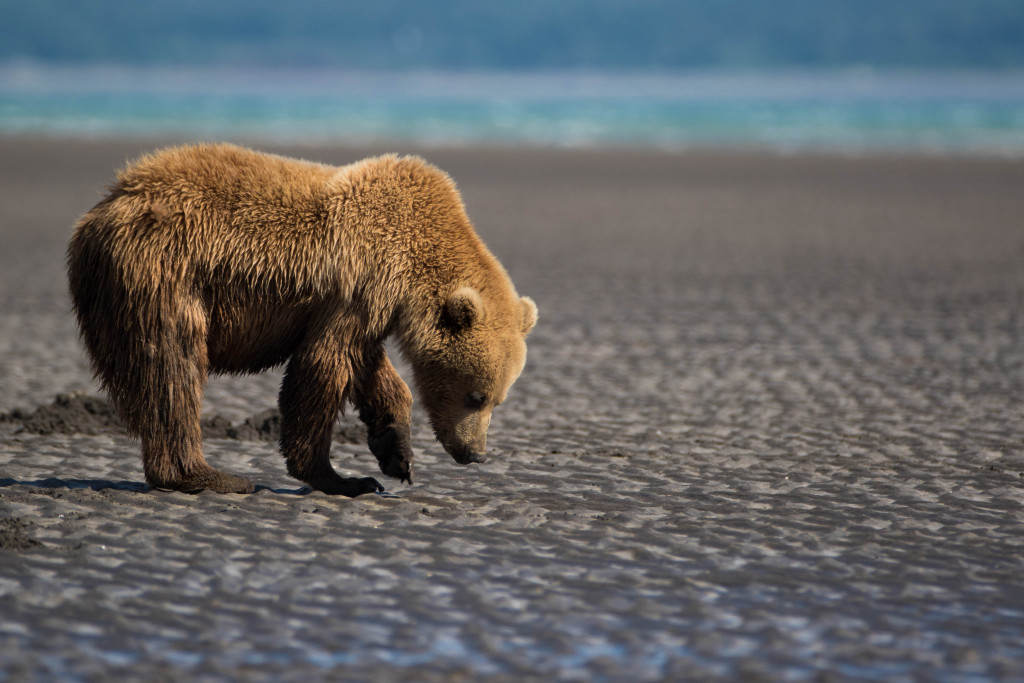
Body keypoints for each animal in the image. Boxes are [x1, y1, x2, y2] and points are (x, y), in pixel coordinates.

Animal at [66, 144, 536, 497]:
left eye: (498, 400)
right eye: (476, 395)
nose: (475, 453)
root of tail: (100, 211)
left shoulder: (370, 307)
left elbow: (369, 369)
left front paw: (396, 451)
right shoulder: (358, 283)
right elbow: (322, 368)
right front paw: (343, 477)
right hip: (165, 273)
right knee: (171, 369)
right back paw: (210, 475)